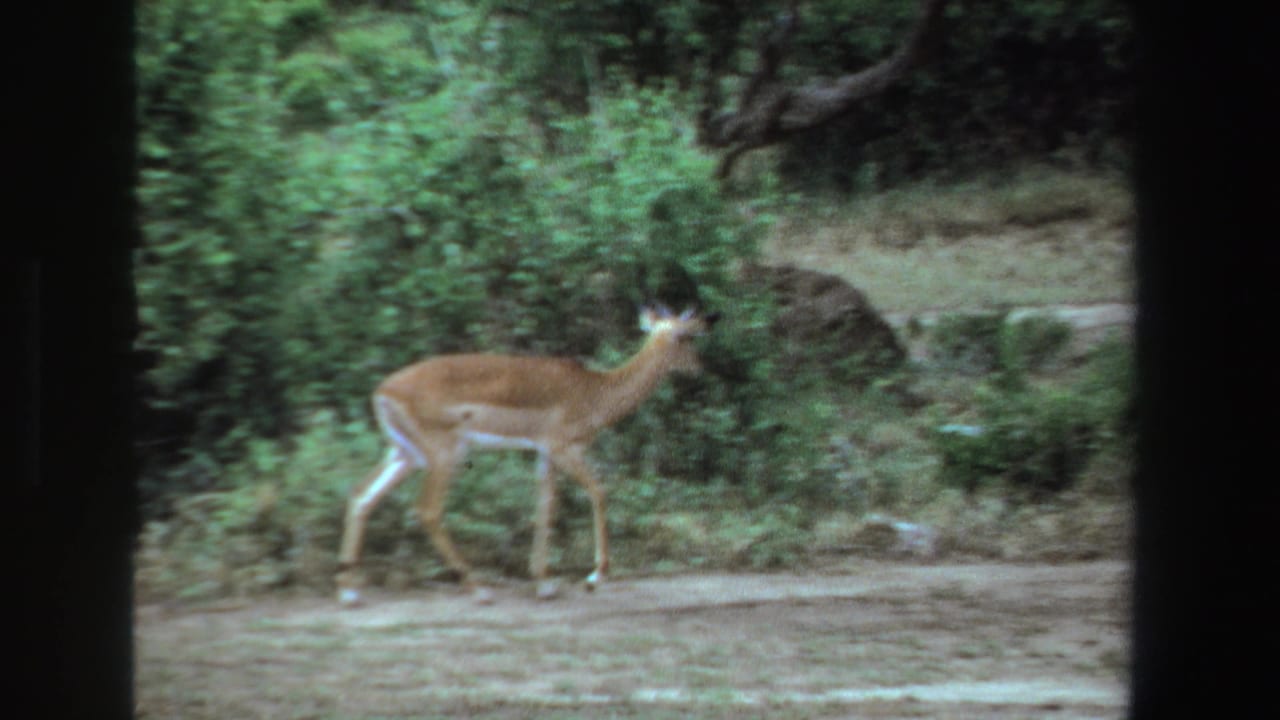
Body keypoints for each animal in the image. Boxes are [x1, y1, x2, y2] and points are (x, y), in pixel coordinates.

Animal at [336, 305, 718, 606]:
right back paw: (479, 589)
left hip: (405, 454)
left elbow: (545, 506)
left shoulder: (544, 454)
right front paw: (594, 578)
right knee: (426, 511)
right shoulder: (565, 449)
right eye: (686, 337)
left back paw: (350, 592)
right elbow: (598, 492)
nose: (700, 367)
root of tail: (383, 391)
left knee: (361, 494)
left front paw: (544, 583)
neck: (594, 392)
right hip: (444, 455)